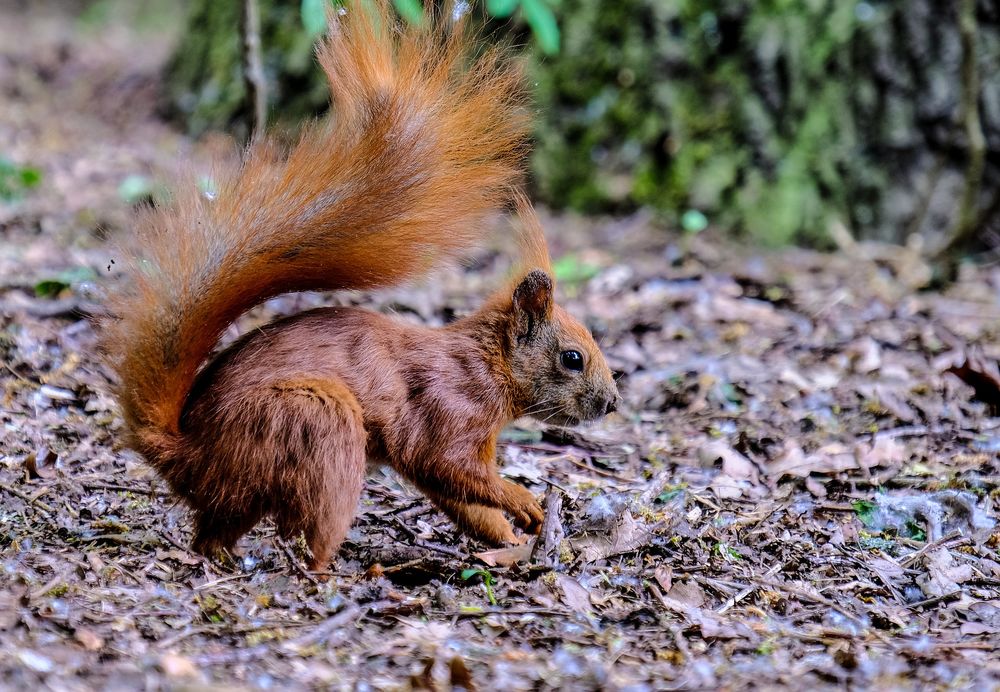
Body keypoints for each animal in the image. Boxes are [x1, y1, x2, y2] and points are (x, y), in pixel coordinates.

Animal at [102, 1, 619, 571]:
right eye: (572, 358)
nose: (612, 404)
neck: (486, 364)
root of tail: (191, 454)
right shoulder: (445, 408)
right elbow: (446, 465)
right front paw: (525, 504)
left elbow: (460, 500)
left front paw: (508, 539)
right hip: (315, 421)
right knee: (307, 530)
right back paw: (338, 570)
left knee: (215, 530)